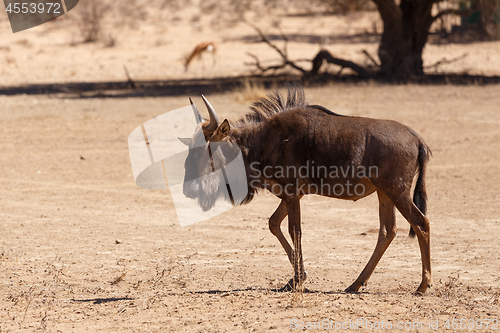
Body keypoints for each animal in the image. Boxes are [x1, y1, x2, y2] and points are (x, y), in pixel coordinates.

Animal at [180, 85, 434, 294]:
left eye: (205, 149)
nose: (189, 190)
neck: (262, 142)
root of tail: (417, 139)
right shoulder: (291, 194)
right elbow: (274, 224)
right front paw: (296, 278)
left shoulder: (292, 193)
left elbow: (295, 231)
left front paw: (298, 279)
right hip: (385, 193)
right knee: (387, 231)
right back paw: (356, 283)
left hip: (397, 192)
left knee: (421, 223)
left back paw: (423, 285)